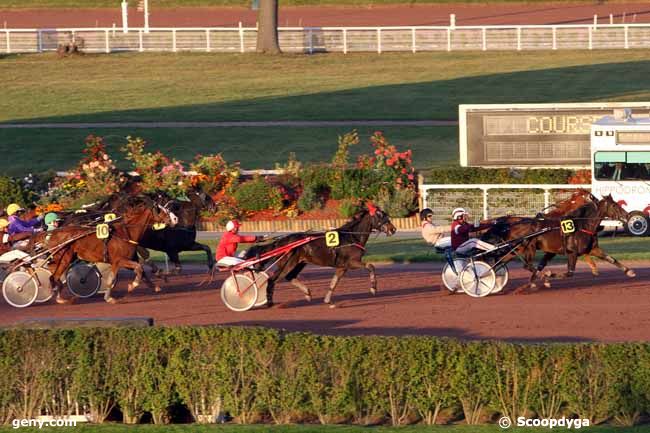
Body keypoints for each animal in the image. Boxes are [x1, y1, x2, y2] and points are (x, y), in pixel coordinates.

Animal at [43, 197, 176, 304]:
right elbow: (129, 272)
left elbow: (140, 270)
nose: (175, 218)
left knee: (53, 274)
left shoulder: (125, 260)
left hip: (68, 258)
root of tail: (54, 233)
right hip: (64, 258)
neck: (126, 233)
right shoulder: (119, 260)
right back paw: (59, 298)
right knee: (53, 277)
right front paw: (126, 289)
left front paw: (155, 285)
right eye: (161, 210)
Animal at [243, 203, 394, 308]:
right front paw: (373, 288)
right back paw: (269, 302)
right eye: (380, 215)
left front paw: (328, 300)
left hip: (299, 263)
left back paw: (308, 293)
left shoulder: (342, 267)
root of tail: (282, 241)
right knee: (272, 280)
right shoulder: (352, 262)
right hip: (287, 263)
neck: (352, 237)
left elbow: (334, 282)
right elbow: (371, 266)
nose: (393, 229)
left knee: (290, 277)